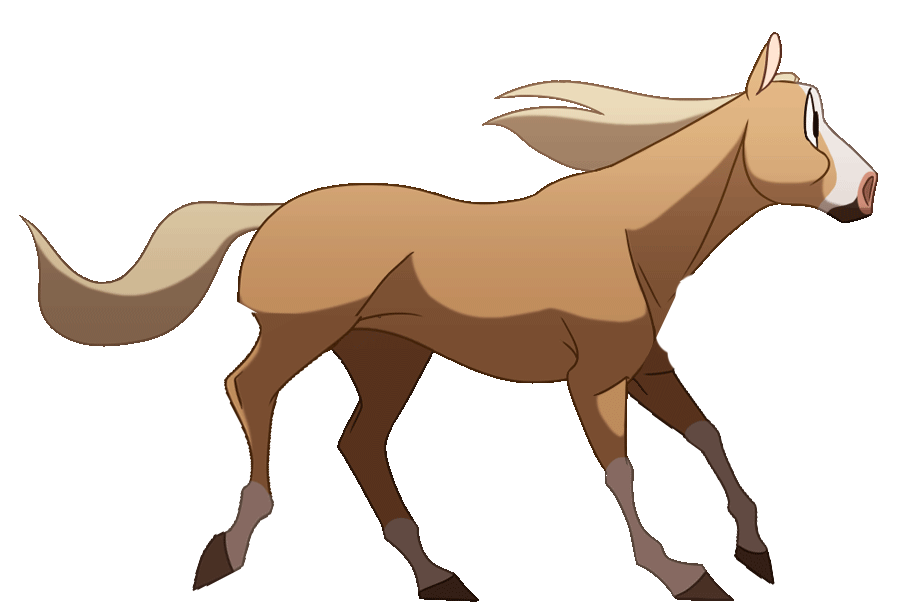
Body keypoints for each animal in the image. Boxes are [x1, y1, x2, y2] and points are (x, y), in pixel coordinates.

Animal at [23, 32, 877, 601]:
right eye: (809, 121)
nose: (869, 191)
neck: (630, 231)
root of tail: (271, 216)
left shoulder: (642, 363)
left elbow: (707, 431)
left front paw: (755, 548)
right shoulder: (593, 379)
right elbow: (622, 467)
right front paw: (679, 570)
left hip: (387, 357)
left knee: (360, 442)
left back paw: (436, 573)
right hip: (303, 335)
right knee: (250, 389)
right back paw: (234, 546)